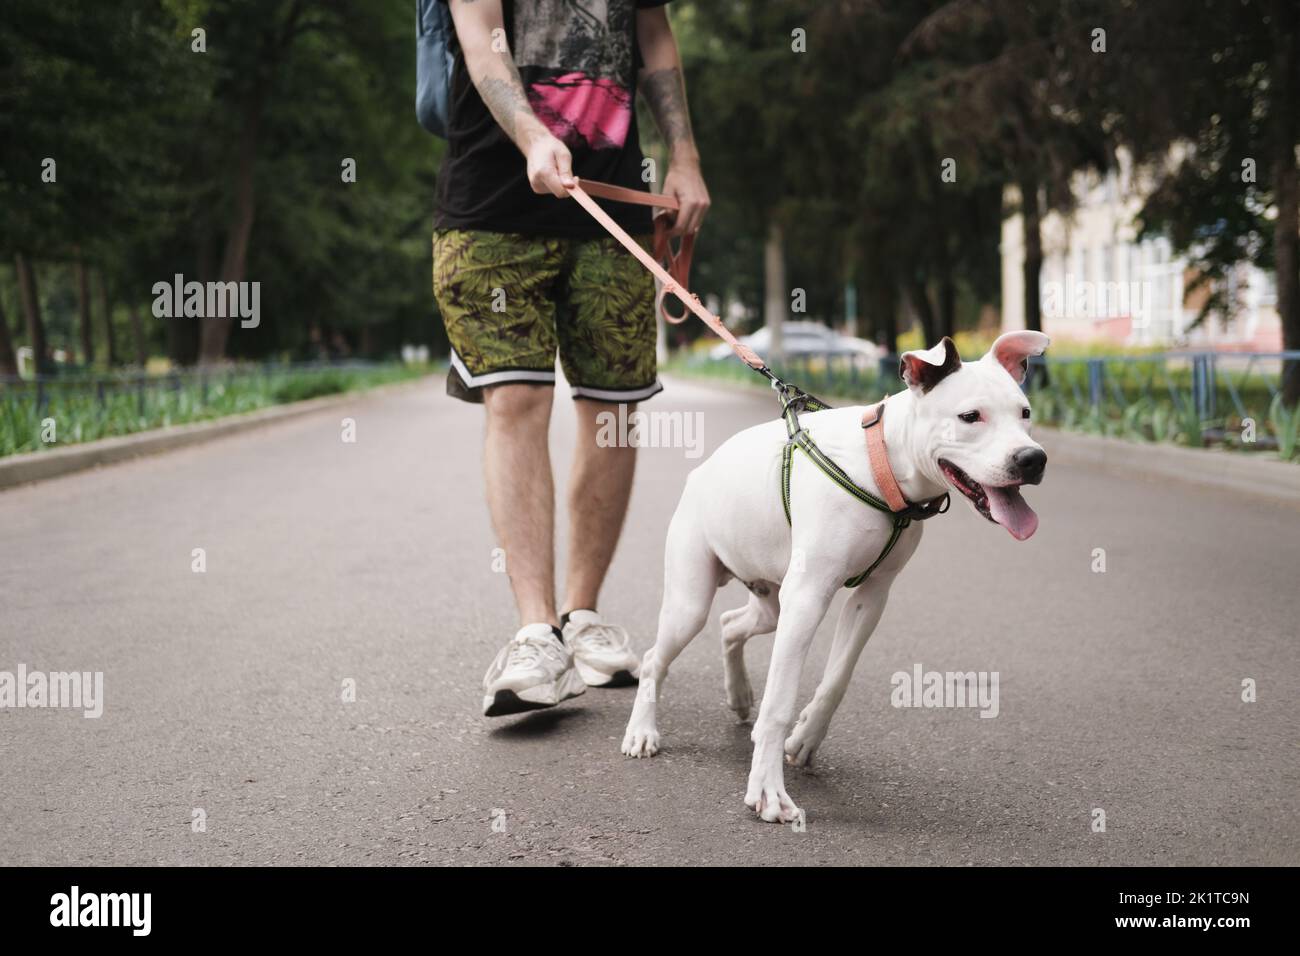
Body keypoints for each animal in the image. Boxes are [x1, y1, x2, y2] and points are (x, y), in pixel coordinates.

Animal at [616, 330, 1045, 822]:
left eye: (1025, 413)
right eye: (970, 416)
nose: (1032, 459)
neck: (883, 464)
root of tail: (701, 471)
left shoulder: (871, 597)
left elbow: (838, 676)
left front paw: (805, 736)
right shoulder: (808, 598)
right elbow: (780, 701)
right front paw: (768, 790)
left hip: (770, 602)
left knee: (730, 626)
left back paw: (739, 694)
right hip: (692, 602)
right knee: (657, 657)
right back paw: (643, 731)